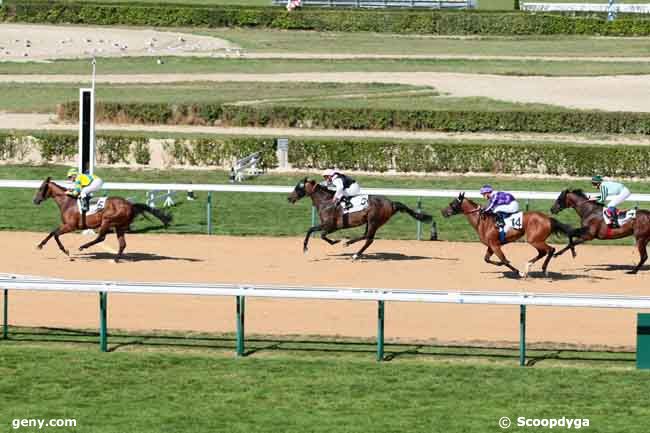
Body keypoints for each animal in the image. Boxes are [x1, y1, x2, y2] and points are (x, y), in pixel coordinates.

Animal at [32, 176, 172, 264]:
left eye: (41, 189)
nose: (35, 200)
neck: (68, 202)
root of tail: (130, 205)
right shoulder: (65, 224)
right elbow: (52, 232)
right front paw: (40, 245)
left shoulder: (71, 226)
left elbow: (56, 234)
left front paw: (67, 252)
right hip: (119, 226)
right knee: (122, 244)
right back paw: (116, 259)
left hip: (107, 220)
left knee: (101, 237)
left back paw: (83, 246)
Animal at [284, 177, 430, 258]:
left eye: (298, 187)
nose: (289, 198)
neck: (326, 201)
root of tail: (392, 203)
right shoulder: (332, 227)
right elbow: (317, 232)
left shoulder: (330, 225)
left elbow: (316, 232)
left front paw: (332, 242)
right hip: (371, 222)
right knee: (366, 236)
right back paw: (349, 244)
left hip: (374, 221)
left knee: (369, 239)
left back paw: (355, 254)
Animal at [438, 193, 580, 276]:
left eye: (452, 203)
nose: (443, 212)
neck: (483, 221)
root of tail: (548, 219)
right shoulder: (491, 245)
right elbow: (487, 259)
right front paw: (511, 268)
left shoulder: (495, 245)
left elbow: (503, 259)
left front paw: (517, 271)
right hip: (535, 240)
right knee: (543, 252)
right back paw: (528, 267)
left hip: (534, 239)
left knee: (550, 250)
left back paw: (543, 270)